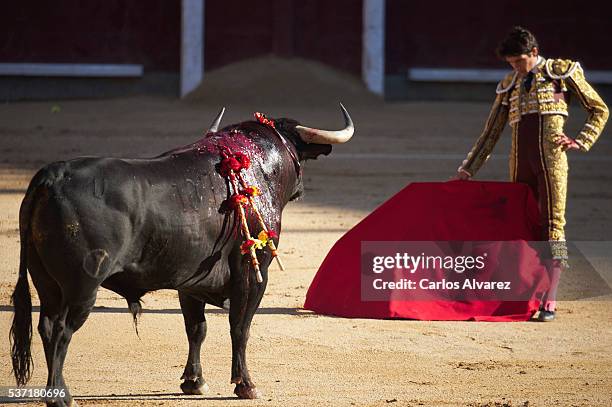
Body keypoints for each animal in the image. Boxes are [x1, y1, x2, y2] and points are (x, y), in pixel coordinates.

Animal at [9, 103, 354, 406]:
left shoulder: (190, 280)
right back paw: (61, 397)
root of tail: (52, 177)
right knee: (62, 332)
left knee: (46, 327)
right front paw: (246, 385)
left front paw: (193, 382)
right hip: (82, 286)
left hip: (46, 282)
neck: (249, 168)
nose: (301, 189)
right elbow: (240, 326)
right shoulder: (253, 274)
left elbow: (196, 328)